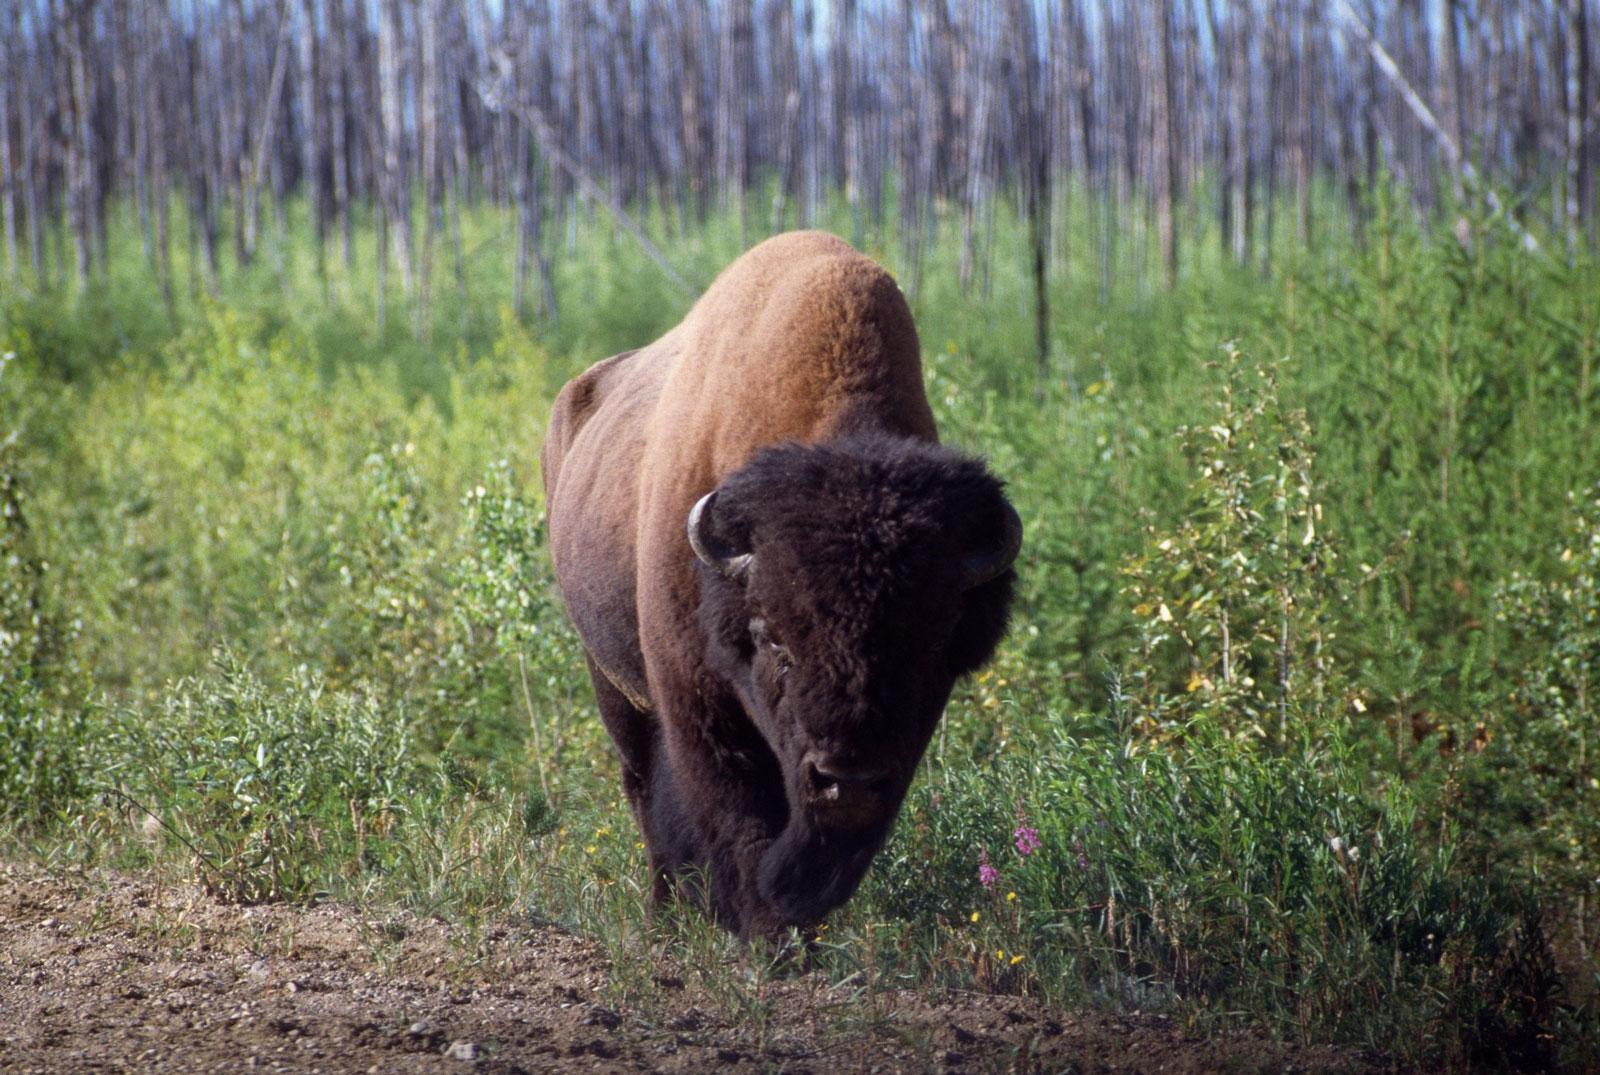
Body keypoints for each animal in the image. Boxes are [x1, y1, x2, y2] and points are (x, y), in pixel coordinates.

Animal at [544, 230, 1017, 934]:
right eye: (774, 640)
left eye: (932, 647)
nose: (847, 777)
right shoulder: (696, 698)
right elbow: (738, 814)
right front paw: (767, 934)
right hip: (610, 678)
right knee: (641, 787)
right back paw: (666, 911)